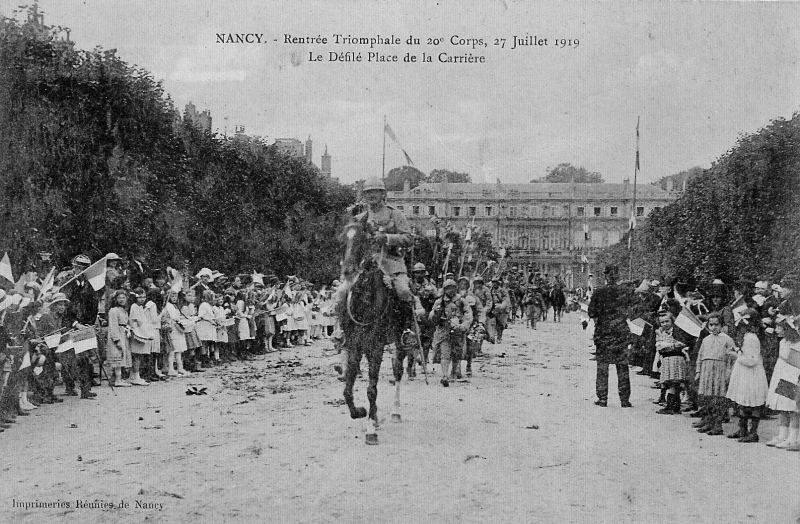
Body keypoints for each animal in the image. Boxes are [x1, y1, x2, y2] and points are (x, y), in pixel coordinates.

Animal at [336, 219, 416, 444]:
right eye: (344, 239)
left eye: (363, 239)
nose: (348, 271)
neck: (364, 303)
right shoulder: (355, 346)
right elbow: (347, 388)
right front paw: (361, 412)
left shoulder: (376, 347)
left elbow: (372, 389)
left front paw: (371, 428)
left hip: (399, 342)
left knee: (398, 371)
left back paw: (396, 412)